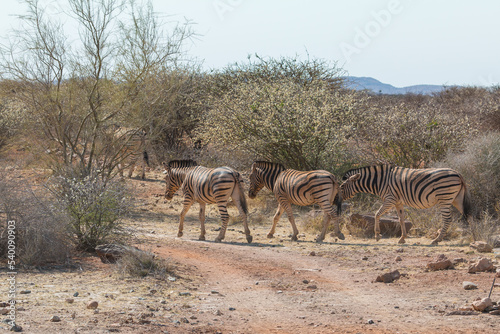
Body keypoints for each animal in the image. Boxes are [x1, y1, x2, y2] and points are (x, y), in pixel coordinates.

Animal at [342, 165, 470, 245]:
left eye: (342, 186)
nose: (339, 199)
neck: (380, 182)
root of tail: (458, 173)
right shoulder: (398, 202)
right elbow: (401, 219)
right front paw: (402, 238)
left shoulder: (390, 199)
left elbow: (377, 214)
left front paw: (377, 236)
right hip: (456, 199)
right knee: (467, 215)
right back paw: (468, 238)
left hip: (444, 198)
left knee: (447, 219)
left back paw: (436, 240)